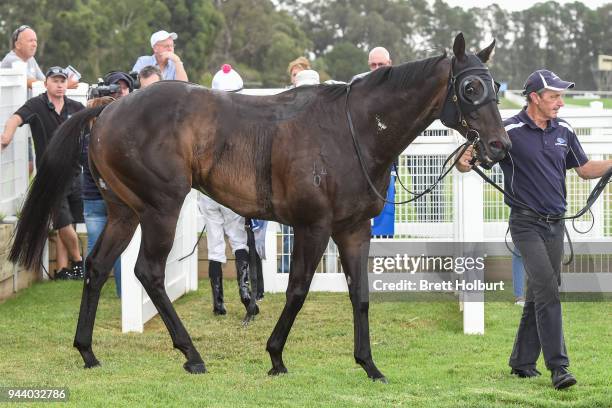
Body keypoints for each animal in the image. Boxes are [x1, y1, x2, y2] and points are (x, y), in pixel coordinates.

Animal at [9, 33, 510, 380]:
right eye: (469, 89)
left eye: (496, 86)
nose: (499, 148)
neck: (351, 130)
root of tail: (109, 109)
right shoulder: (312, 225)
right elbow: (298, 289)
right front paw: (276, 356)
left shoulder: (354, 229)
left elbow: (361, 294)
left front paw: (369, 365)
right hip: (160, 209)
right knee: (148, 272)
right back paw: (191, 355)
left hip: (124, 211)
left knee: (96, 267)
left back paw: (87, 351)